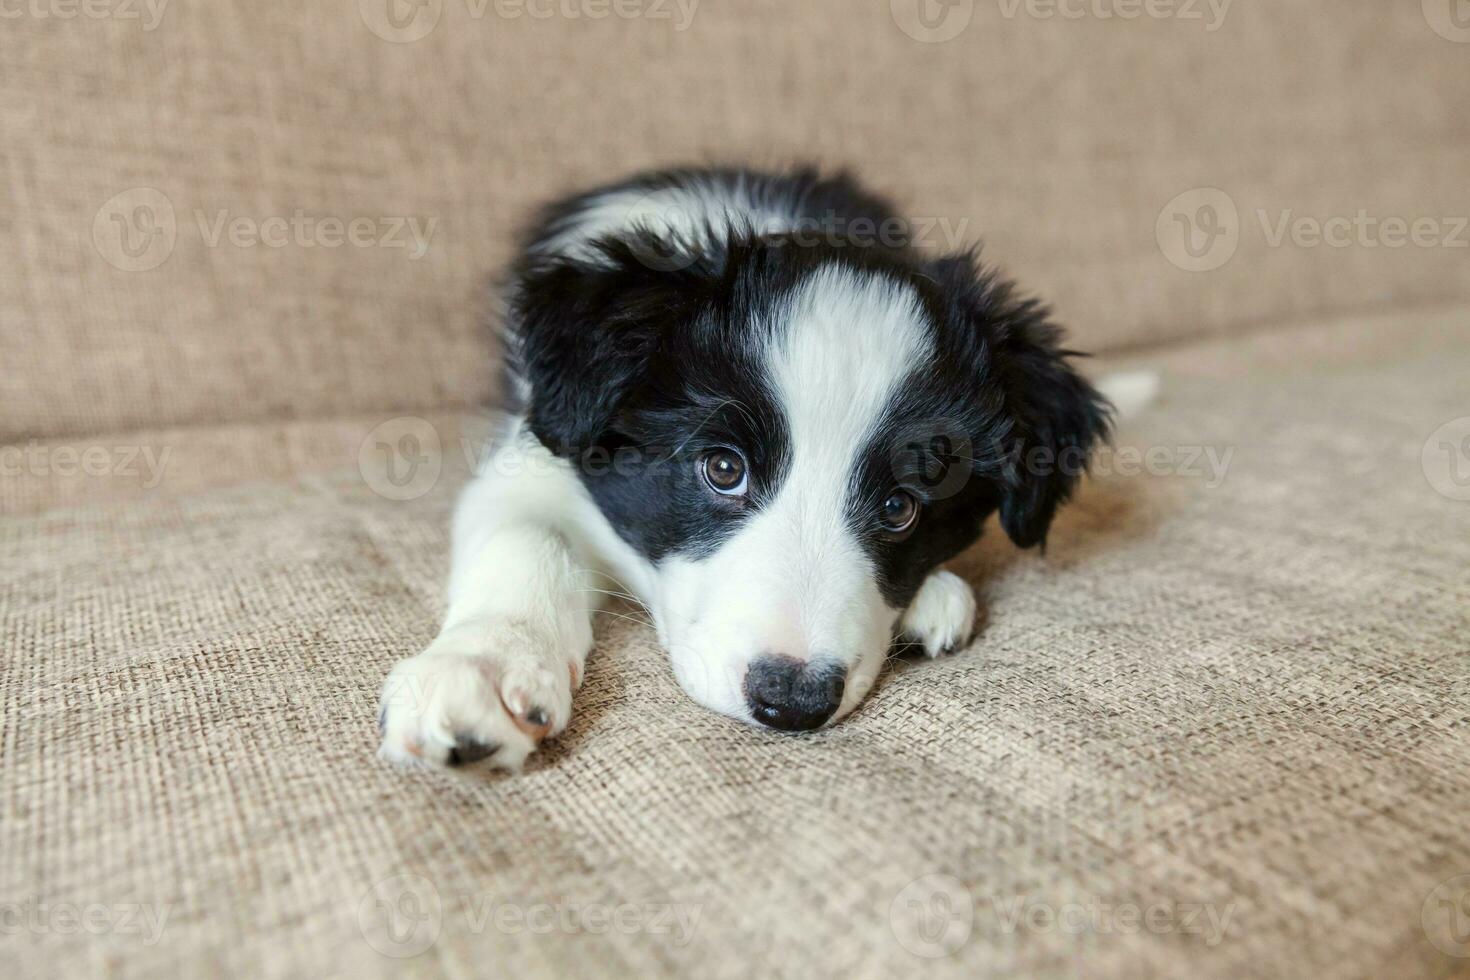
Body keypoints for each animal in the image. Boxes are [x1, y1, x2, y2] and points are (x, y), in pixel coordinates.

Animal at [379, 164, 1111, 769]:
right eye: (723, 470)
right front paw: (481, 668)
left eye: (901, 506)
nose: (793, 700)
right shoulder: (532, 459)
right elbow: (528, 536)